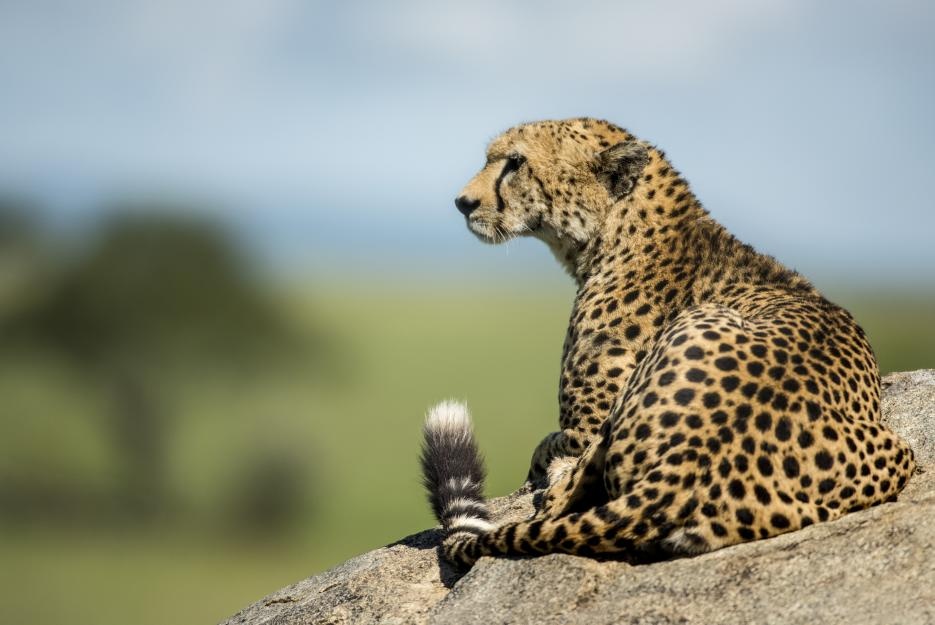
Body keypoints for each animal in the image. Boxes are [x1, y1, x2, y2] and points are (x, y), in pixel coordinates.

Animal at [420, 117, 916, 564]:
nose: (463, 202)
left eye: (515, 162)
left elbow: (547, 447)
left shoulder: (585, 426)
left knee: (559, 501)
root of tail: (691, 468)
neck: (619, 230)